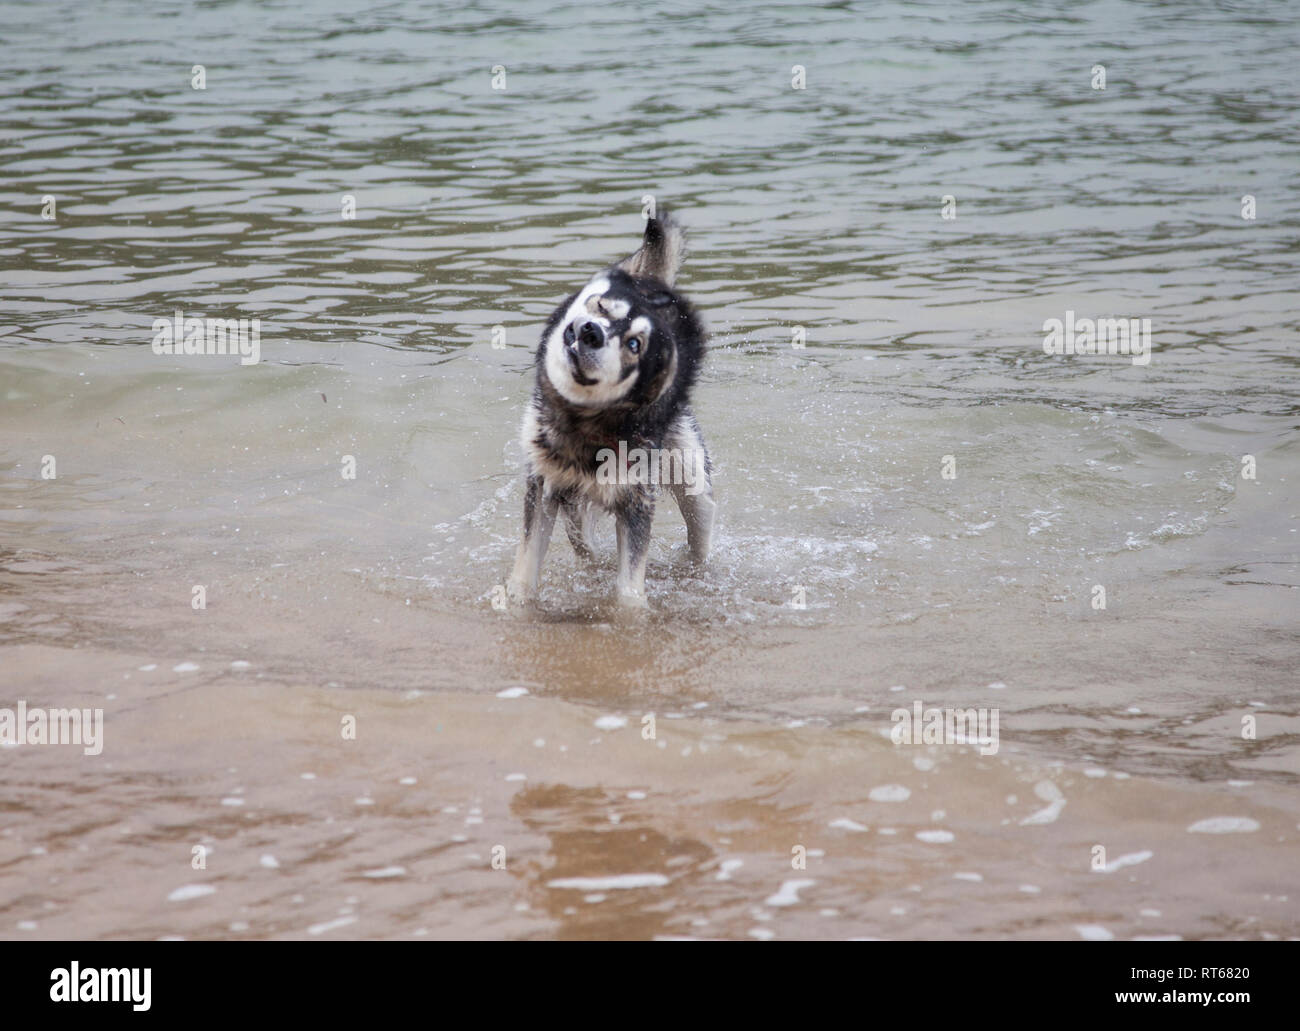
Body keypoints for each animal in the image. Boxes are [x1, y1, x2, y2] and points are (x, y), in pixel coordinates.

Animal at [506, 211, 717, 608]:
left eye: (634, 344)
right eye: (601, 308)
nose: (590, 331)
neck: (585, 426)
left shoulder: (637, 502)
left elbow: (629, 588)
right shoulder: (543, 485)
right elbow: (525, 571)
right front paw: (518, 602)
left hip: (693, 485)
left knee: (699, 535)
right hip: (574, 505)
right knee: (584, 544)